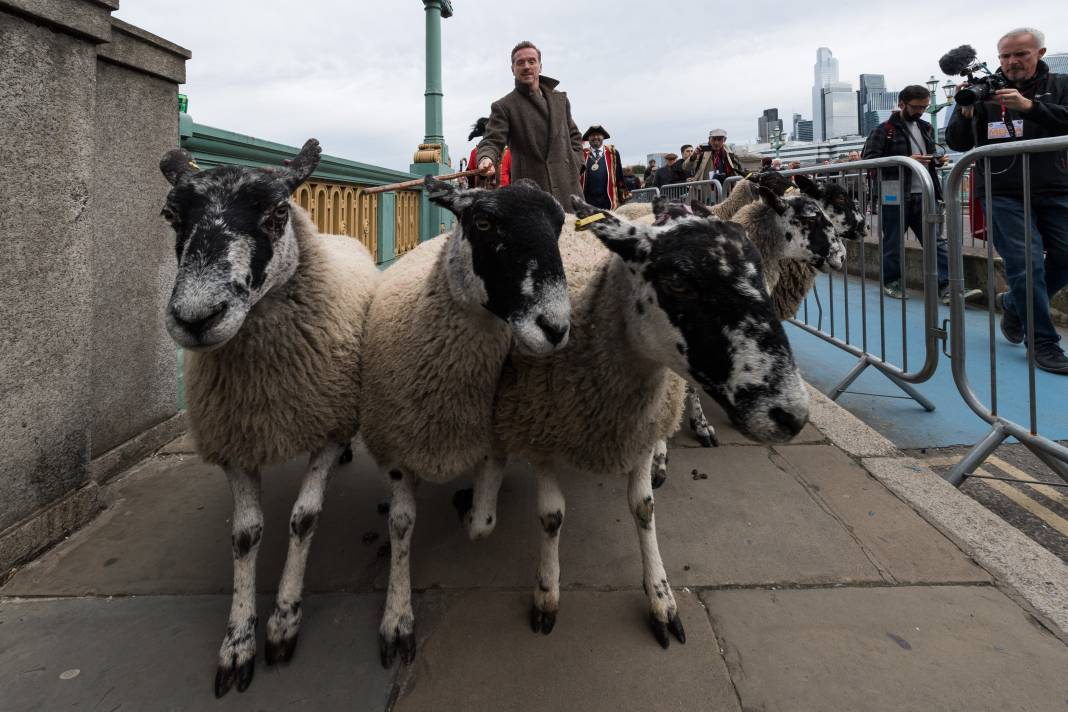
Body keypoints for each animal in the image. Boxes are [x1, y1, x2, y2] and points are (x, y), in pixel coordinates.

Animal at [155, 141, 378, 700]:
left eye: (278, 213)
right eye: (171, 215)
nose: (196, 318)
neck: (266, 386)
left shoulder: (328, 422)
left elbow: (303, 518)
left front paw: (283, 622)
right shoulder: (234, 438)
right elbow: (245, 534)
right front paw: (237, 643)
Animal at [360, 177, 576, 670]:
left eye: (558, 224)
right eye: (484, 222)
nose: (556, 328)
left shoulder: (489, 445)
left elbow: (483, 523)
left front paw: (467, 507)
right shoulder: (396, 454)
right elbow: (401, 525)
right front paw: (396, 619)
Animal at [489, 197, 807, 649]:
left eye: (760, 276)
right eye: (677, 282)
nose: (792, 415)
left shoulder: (643, 425)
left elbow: (643, 508)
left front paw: (661, 599)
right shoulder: (539, 429)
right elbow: (551, 516)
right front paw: (547, 593)